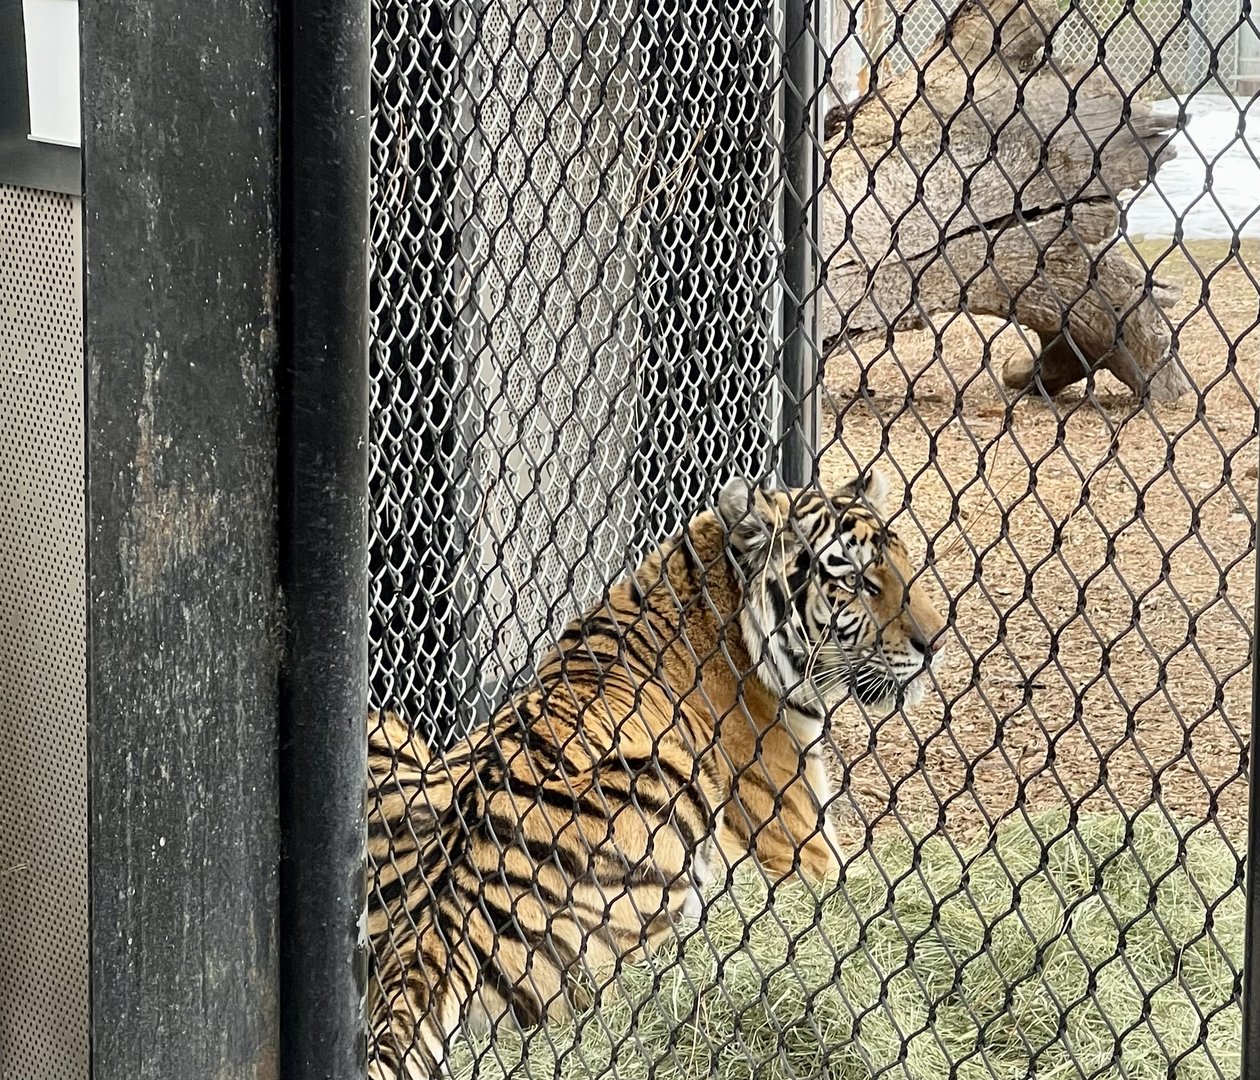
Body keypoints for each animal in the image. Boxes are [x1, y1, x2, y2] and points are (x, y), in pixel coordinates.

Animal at [366, 468, 947, 1078]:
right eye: (856, 580)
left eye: (905, 563)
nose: (936, 643)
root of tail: (428, 928)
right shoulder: (806, 850)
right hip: (666, 795)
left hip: (389, 730)